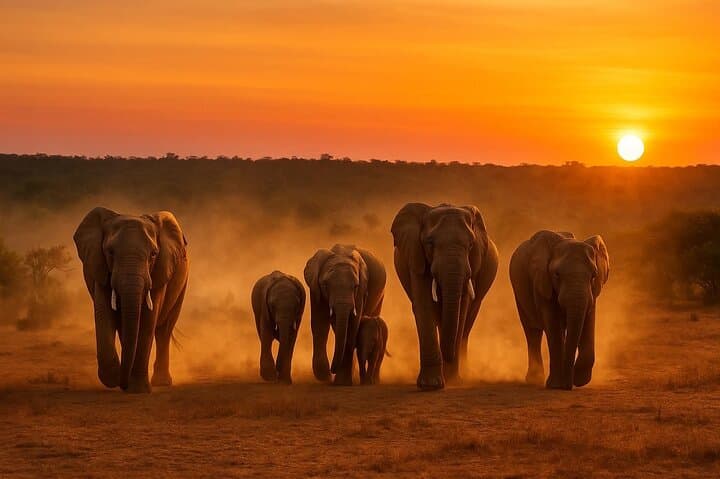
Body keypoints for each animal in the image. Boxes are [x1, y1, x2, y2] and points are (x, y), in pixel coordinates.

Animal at [73, 207, 189, 393]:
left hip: (182, 285)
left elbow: (148, 321)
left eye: (153, 254)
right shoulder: (100, 268)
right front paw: (115, 377)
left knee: (164, 330)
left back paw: (161, 382)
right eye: (110, 252)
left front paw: (138, 390)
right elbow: (104, 313)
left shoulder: (160, 270)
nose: (123, 385)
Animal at [304, 244, 386, 386]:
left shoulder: (361, 291)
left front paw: (341, 382)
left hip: (380, 296)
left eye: (355, 286)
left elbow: (353, 325)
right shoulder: (315, 289)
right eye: (326, 285)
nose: (332, 371)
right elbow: (320, 323)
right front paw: (324, 376)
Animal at [391, 203, 499, 390]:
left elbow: (461, 308)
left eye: (471, 244)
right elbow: (424, 305)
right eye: (430, 243)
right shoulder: (416, 257)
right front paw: (431, 385)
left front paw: (453, 381)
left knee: (466, 324)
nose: (447, 356)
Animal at [509, 230, 609, 390]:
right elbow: (553, 324)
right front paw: (556, 385)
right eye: (557, 274)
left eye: (594, 275)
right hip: (518, 292)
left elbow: (588, 321)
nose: (568, 386)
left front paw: (580, 380)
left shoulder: (593, 291)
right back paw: (535, 380)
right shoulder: (541, 282)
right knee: (532, 332)